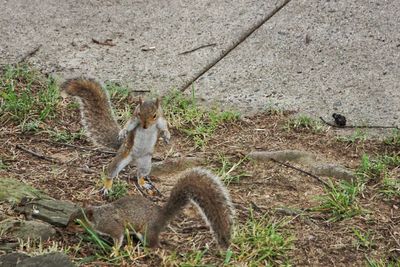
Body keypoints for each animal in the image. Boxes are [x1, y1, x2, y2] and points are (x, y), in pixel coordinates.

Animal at [68, 169, 234, 252]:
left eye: (77, 223)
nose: (66, 227)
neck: (98, 216)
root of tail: (162, 215)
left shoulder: (113, 226)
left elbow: (118, 236)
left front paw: (114, 251)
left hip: (146, 231)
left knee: (154, 243)